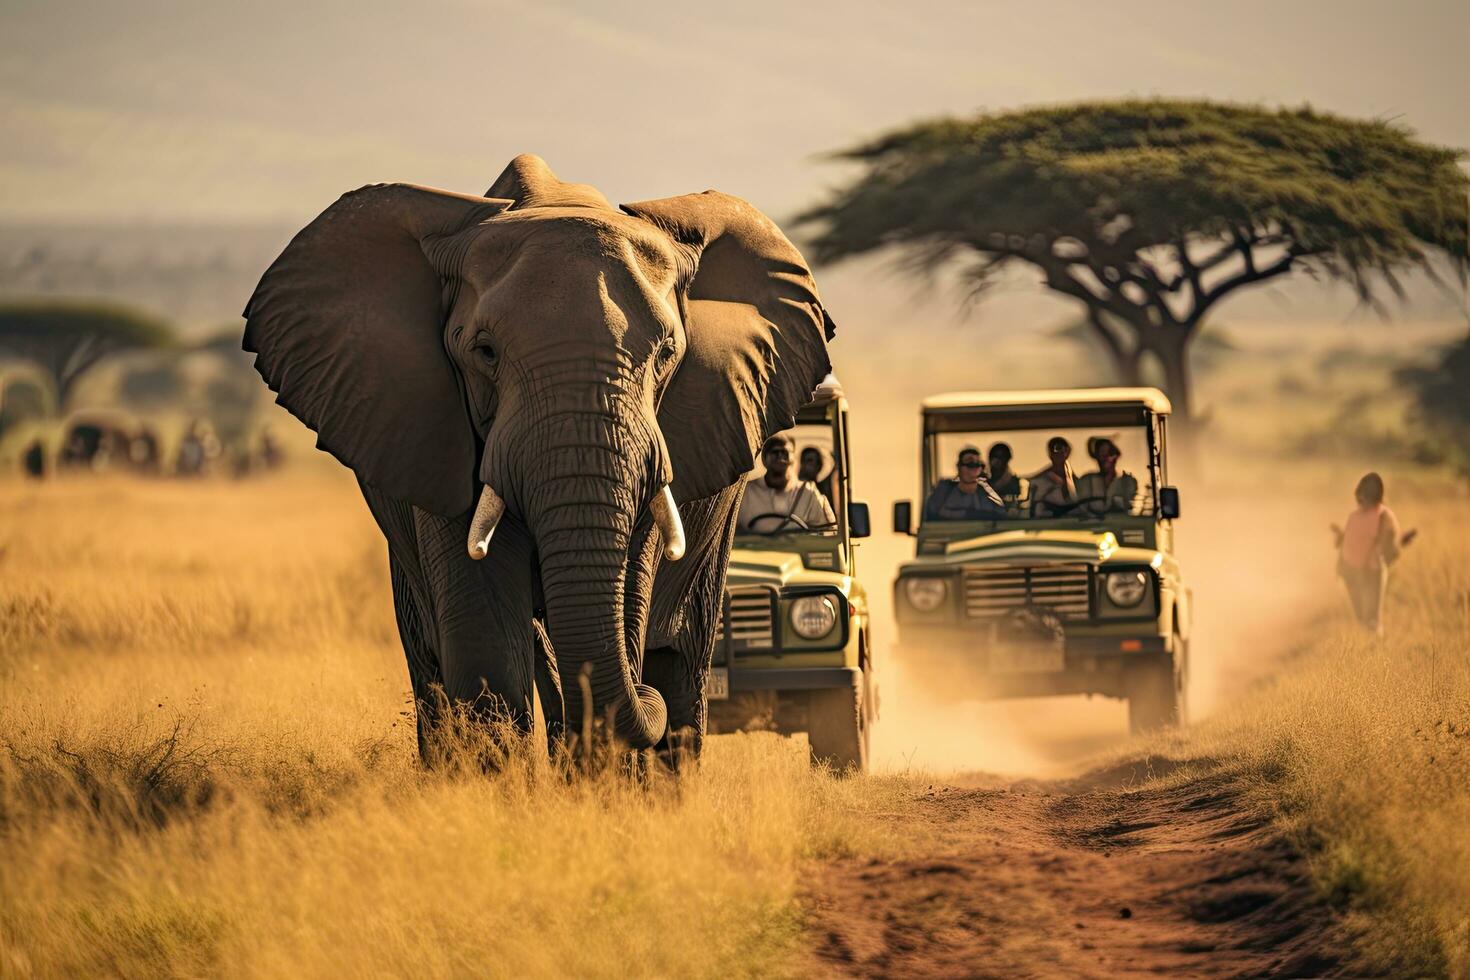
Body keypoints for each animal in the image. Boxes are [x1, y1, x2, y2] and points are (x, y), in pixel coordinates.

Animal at [246, 157, 834, 764]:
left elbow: (629, 600)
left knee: (681, 657)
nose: (640, 695)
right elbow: (483, 633)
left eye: (668, 353)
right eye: (483, 352)